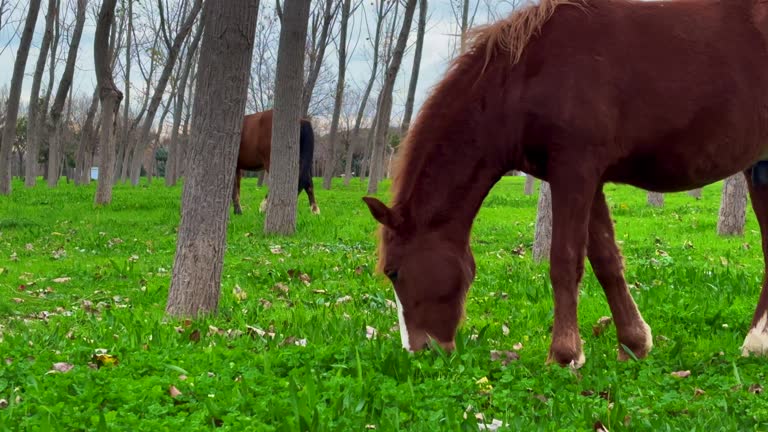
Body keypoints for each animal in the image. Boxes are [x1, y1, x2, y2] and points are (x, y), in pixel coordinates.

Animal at [364, 0, 768, 368]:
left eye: (393, 271)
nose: (418, 351)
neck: (523, 78)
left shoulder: (574, 172)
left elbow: (564, 260)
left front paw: (564, 354)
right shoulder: (588, 179)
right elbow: (605, 260)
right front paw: (633, 344)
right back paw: (756, 343)